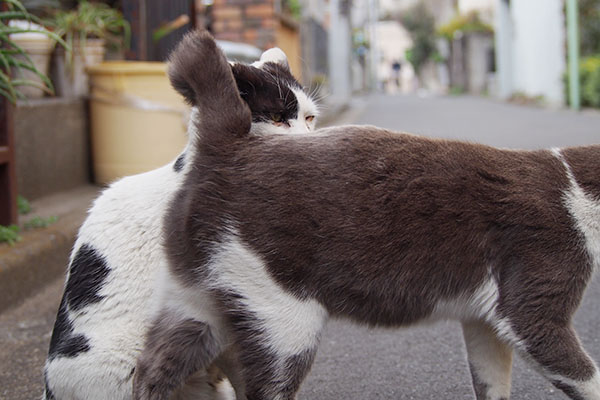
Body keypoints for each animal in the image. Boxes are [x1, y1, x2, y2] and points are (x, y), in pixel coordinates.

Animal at [135, 30, 600, 400]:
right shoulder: (531, 310)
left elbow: (490, 380)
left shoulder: (484, 322)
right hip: (284, 320)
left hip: (194, 303)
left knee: (152, 369)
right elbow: (586, 375)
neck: (578, 187)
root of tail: (227, 147)